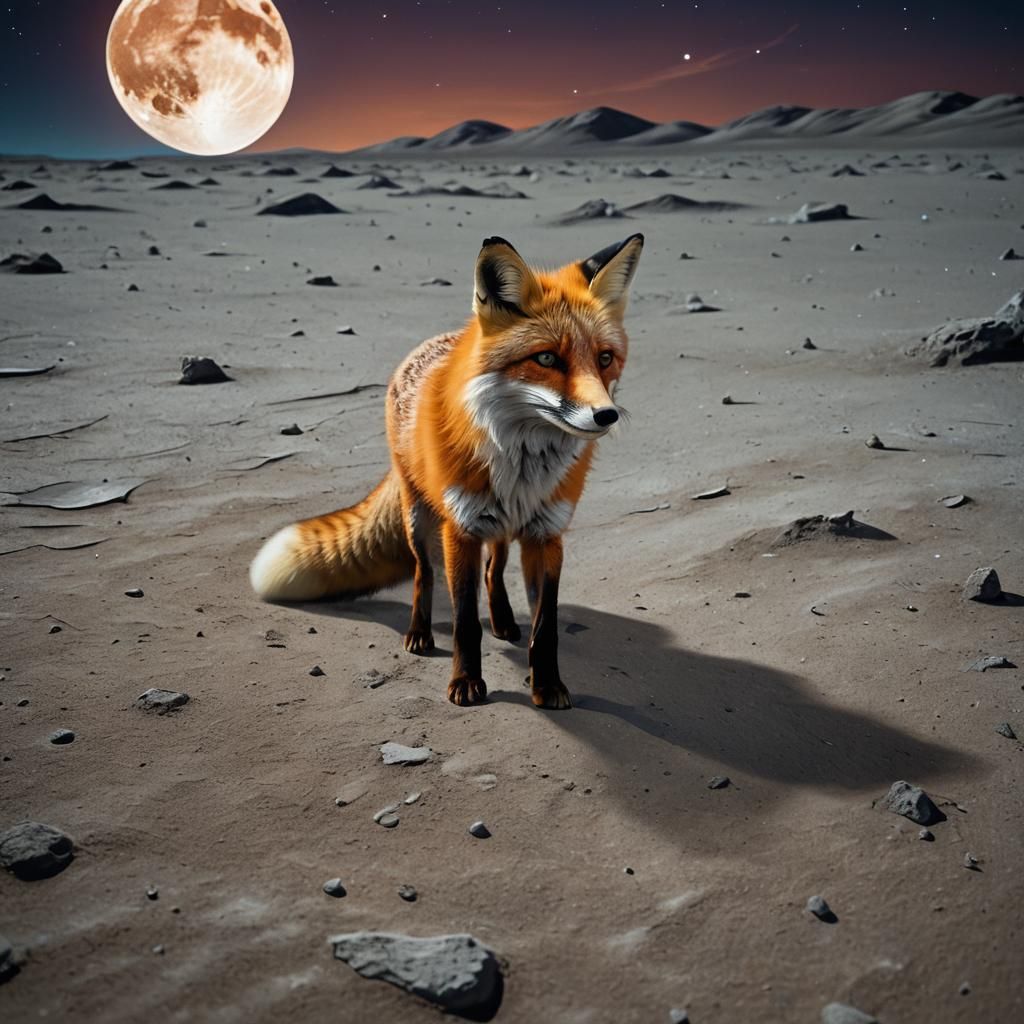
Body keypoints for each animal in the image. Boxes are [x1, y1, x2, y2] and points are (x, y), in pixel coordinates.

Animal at [249, 232, 644, 709]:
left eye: (604, 358)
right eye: (547, 358)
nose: (606, 415)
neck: (522, 468)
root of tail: (430, 345)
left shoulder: (546, 535)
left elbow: (545, 627)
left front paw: (548, 686)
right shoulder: (461, 530)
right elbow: (464, 622)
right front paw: (466, 682)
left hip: (499, 528)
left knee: (495, 571)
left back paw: (504, 621)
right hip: (420, 519)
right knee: (424, 574)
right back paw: (419, 633)